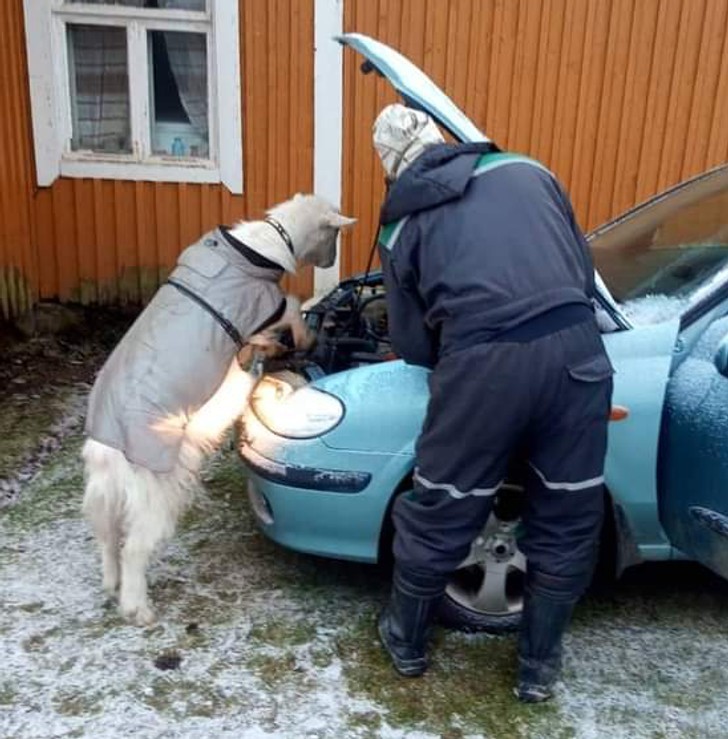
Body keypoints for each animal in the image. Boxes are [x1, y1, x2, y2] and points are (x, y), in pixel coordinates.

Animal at [82, 194, 356, 628]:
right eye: (334, 235)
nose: (331, 263)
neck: (266, 242)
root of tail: (107, 447)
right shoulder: (266, 308)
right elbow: (292, 306)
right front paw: (304, 336)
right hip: (156, 488)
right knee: (135, 547)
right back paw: (137, 606)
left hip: (106, 492)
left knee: (107, 534)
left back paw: (111, 582)